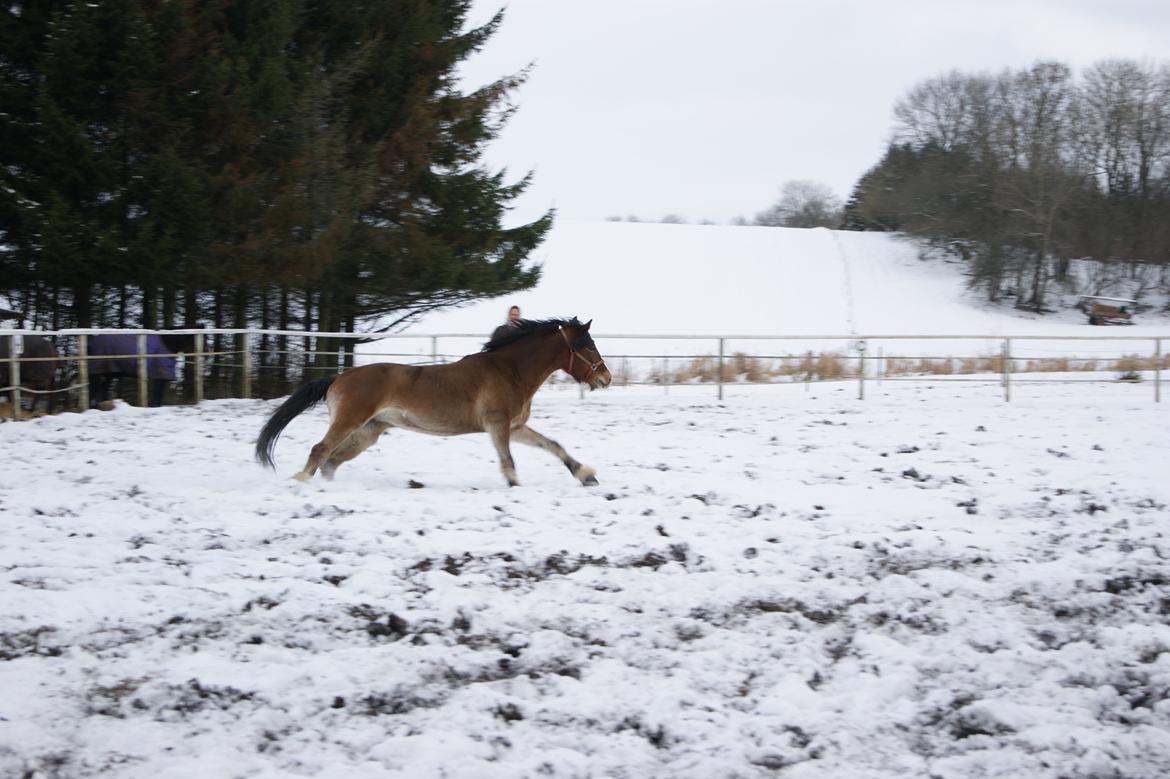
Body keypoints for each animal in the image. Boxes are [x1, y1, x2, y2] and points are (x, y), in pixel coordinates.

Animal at [256, 318, 613, 486]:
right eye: (587, 345)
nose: (606, 378)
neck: (509, 370)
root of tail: (337, 379)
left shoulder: (514, 426)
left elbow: (553, 445)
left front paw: (586, 476)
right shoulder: (497, 425)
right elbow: (508, 462)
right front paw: (515, 487)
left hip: (369, 431)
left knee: (332, 460)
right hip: (350, 421)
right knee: (321, 451)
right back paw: (300, 483)